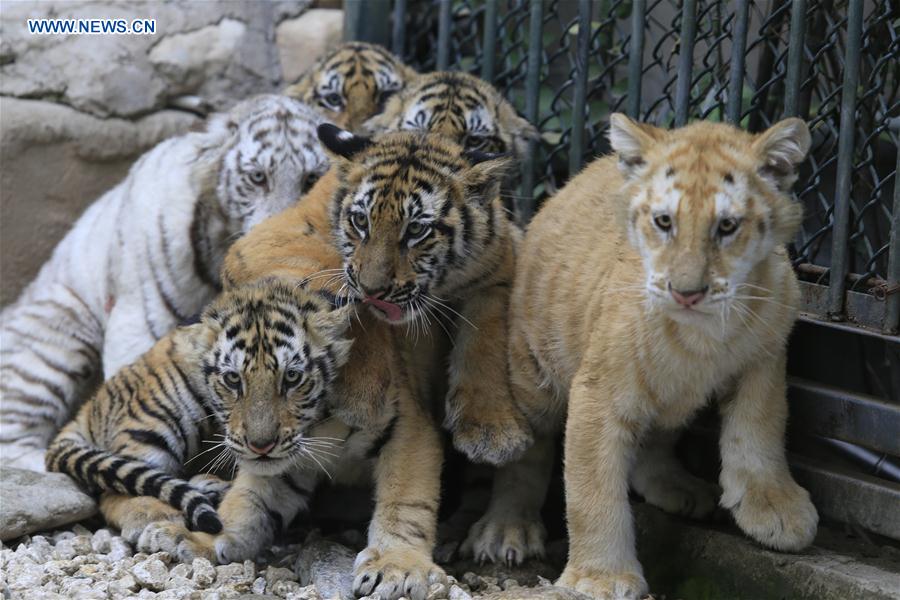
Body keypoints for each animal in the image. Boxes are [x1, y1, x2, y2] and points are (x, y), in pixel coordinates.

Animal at [45, 281, 354, 545]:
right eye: (232, 379)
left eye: (292, 377)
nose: (261, 446)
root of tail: (87, 407)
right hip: (158, 419)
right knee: (113, 491)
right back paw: (156, 516)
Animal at [469, 114, 819, 598]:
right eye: (664, 221)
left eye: (727, 226)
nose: (686, 292)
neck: (701, 332)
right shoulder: (598, 392)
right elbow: (592, 487)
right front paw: (601, 577)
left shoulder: (764, 359)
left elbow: (759, 430)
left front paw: (776, 509)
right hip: (533, 370)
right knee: (526, 456)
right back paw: (508, 530)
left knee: (656, 439)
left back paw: (683, 490)